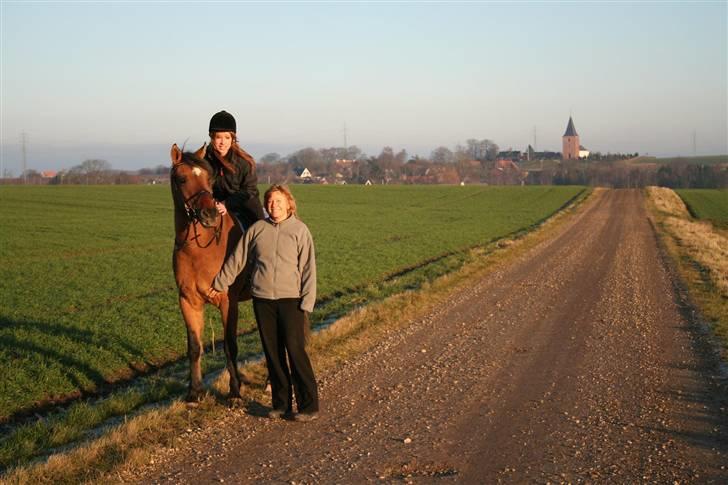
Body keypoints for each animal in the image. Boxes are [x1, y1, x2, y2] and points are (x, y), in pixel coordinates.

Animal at [169, 143, 249, 400]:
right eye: (182, 178)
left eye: (208, 178)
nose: (210, 215)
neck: (198, 250)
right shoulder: (188, 301)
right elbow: (194, 347)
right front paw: (194, 392)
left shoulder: (227, 301)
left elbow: (230, 346)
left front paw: (235, 391)